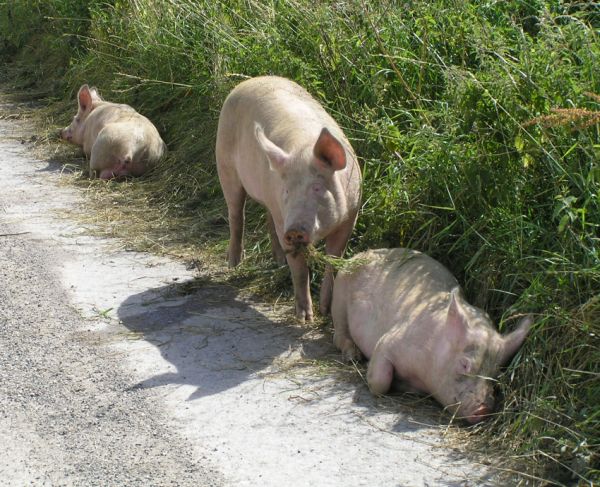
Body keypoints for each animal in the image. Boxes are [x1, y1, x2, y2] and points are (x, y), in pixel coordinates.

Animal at [218, 76, 364, 322]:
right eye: (286, 191)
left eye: (317, 187)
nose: (295, 229)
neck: (303, 151)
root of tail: (249, 81)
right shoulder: (283, 219)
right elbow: (299, 269)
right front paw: (305, 318)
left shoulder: (350, 216)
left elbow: (334, 260)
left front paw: (326, 310)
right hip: (224, 165)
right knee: (236, 214)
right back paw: (233, 264)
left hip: (269, 200)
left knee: (266, 217)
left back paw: (278, 261)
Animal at [330, 248, 532, 424]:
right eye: (464, 364)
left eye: (495, 374)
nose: (484, 409)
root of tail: (361, 253)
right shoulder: (389, 341)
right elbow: (380, 383)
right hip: (339, 292)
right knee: (338, 333)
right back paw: (353, 356)